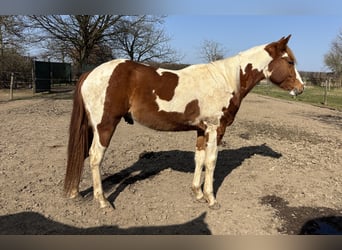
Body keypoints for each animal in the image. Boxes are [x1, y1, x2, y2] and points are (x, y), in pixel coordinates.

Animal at [65, 35, 304, 209]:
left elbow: (199, 159)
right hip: (105, 126)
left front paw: (197, 193)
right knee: (95, 157)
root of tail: (90, 73)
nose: (300, 89)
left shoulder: (201, 130)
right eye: (289, 61)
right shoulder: (215, 129)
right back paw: (103, 201)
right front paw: (210, 198)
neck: (226, 80)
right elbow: (211, 161)